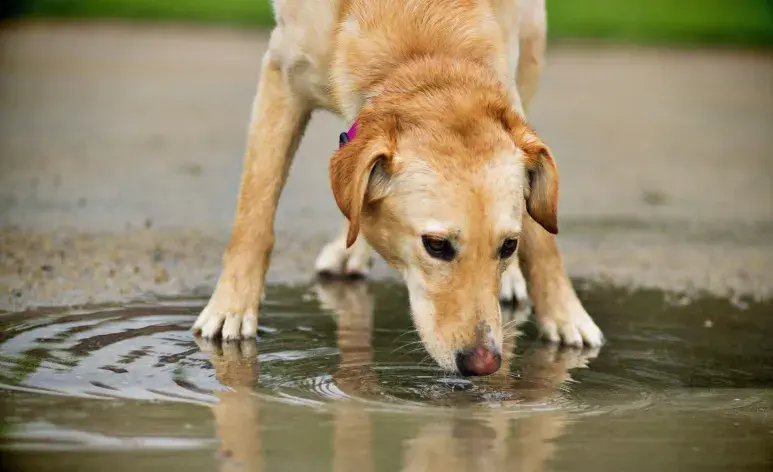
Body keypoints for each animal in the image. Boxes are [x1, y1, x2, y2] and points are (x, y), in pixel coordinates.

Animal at [193, 0, 604, 376]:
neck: (425, 48)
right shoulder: (282, 76)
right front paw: (230, 308)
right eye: (436, 245)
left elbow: (542, 239)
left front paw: (565, 314)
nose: (484, 364)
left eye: (508, 246)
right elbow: (255, 210)